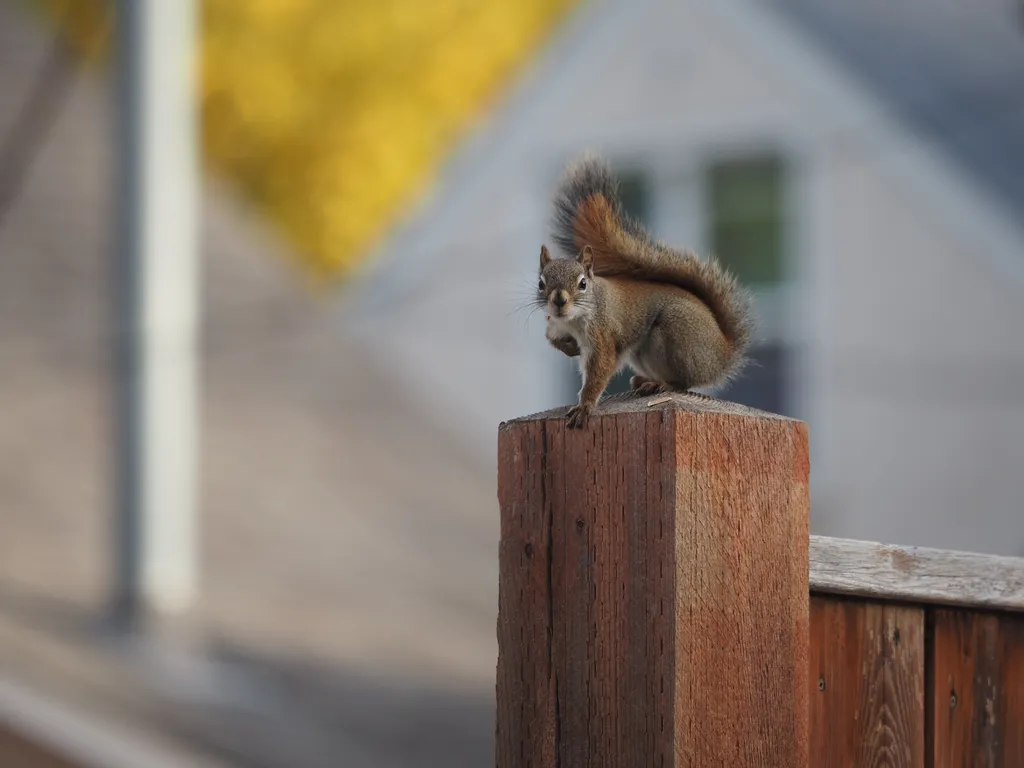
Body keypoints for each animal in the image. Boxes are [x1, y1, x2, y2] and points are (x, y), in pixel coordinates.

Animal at [537, 154, 754, 429]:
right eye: (541, 283)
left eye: (583, 283)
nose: (559, 300)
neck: (573, 320)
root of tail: (722, 355)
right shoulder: (555, 325)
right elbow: (552, 338)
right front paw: (569, 348)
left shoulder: (602, 334)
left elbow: (599, 370)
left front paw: (584, 407)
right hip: (642, 352)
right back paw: (643, 380)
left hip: (676, 334)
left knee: (683, 383)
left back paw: (661, 384)